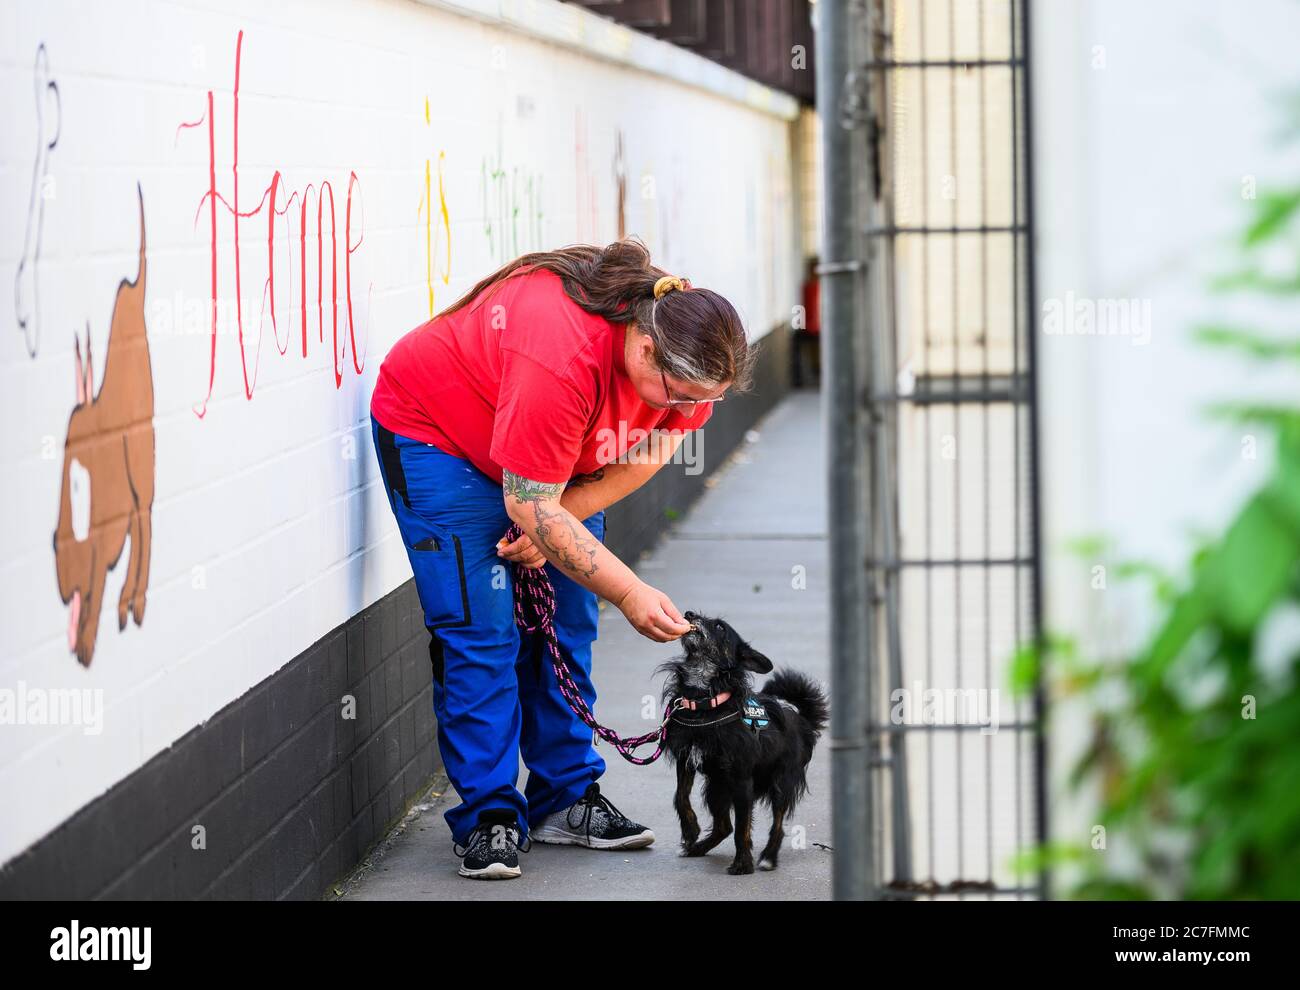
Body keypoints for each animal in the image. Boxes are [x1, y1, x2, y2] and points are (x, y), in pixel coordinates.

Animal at [660, 610, 832, 873]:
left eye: (719, 627)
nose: (688, 613)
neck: (705, 702)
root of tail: (803, 720)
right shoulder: (686, 760)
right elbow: (680, 796)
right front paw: (690, 832)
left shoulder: (742, 779)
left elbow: (742, 826)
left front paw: (742, 863)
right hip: (716, 786)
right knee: (723, 826)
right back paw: (697, 847)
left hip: (781, 783)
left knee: (776, 825)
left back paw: (768, 857)